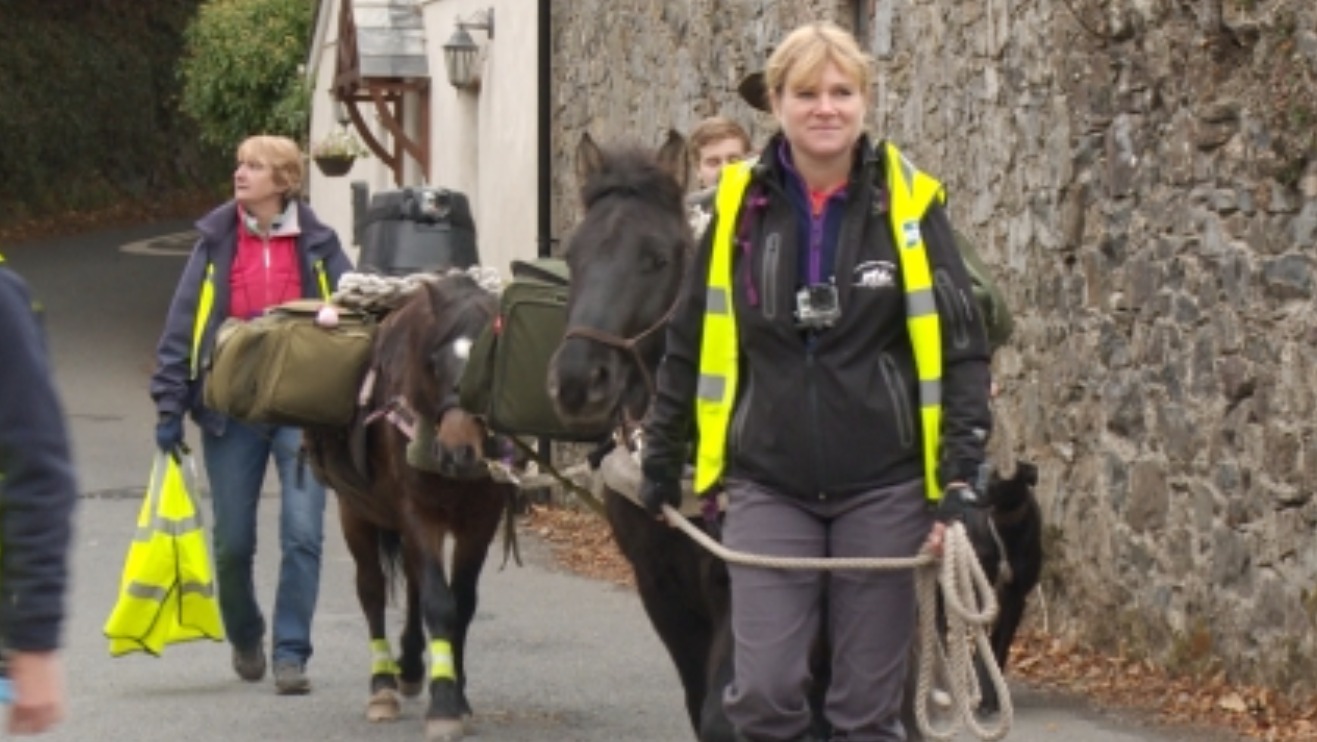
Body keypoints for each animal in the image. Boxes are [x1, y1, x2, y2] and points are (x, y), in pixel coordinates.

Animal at [306, 274, 513, 742]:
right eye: (434, 363)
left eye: (489, 365)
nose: (457, 452)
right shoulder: (418, 513)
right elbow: (439, 603)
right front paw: (444, 705)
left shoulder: (480, 521)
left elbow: (461, 603)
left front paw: (457, 693)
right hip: (355, 512)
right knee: (372, 590)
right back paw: (383, 685)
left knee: (415, 584)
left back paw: (414, 667)